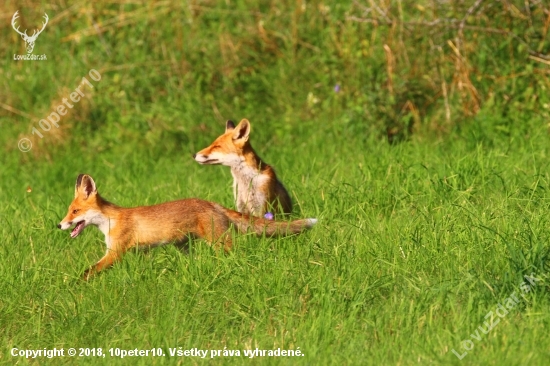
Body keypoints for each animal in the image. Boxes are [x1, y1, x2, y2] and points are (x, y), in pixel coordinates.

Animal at [58, 174, 316, 280]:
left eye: (75, 212)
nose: (59, 224)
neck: (110, 220)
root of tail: (211, 203)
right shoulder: (137, 252)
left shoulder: (115, 252)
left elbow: (88, 272)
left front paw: (74, 285)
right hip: (184, 247)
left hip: (220, 243)